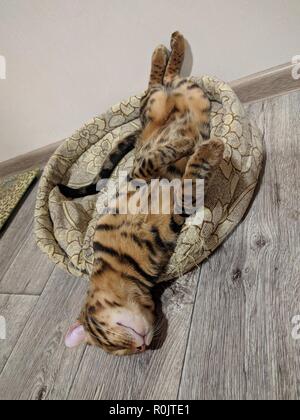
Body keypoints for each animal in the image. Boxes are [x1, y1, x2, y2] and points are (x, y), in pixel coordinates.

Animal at [62, 32, 224, 354]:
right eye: (118, 351)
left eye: (105, 336)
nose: (140, 346)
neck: (125, 266)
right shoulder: (181, 208)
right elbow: (192, 176)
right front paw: (208, 149)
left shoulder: (135, 178)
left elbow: (149, 161)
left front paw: (185, 145)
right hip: (185, 93)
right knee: (167, 79)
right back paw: (171, 47)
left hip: (158, 102)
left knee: (155, 83)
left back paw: (166, 47)